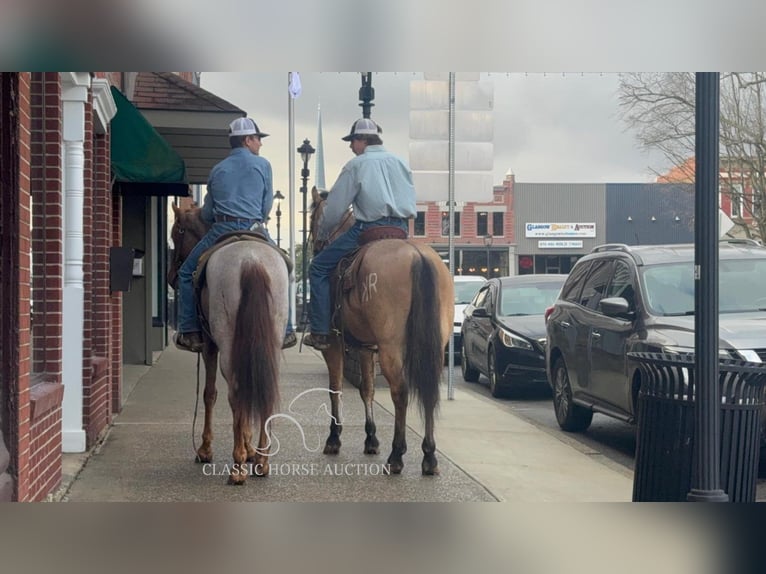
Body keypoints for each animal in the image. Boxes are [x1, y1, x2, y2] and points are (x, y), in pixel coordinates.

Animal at [168, 205, 292, 484]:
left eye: (176, 233)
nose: (171, 277)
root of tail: (251, 260)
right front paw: (250, 450)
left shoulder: (210, 346)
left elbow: (210, 393)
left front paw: (206, 449)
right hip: (271, 340)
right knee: (263, 389)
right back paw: (261, 461)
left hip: (225, 342)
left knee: (236, 392)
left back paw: (237, 468)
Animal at [308, 189, 456, 476]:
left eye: (311, 217)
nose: (314, 245)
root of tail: (418, 256)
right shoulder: (366, 347)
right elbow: (367, 389)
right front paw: (371, 438)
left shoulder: (334, 343)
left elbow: (335, 388)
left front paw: (334, 438)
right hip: (433, 346)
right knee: (429, 391)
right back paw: (429, 456)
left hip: (391, 347)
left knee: (401, 391)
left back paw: (397, 455)